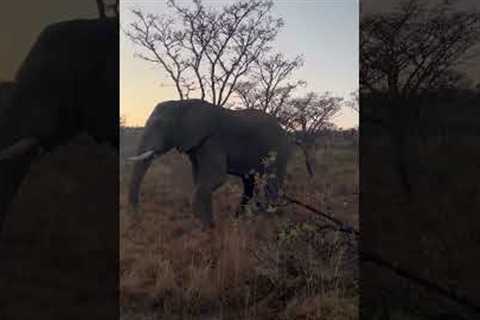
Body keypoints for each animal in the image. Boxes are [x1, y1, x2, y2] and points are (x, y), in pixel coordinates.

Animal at [128, 99, 296, 228]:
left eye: (160, 125)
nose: (138, 216)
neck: (183, 104)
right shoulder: (197, 146)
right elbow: (199, 179)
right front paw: (206, 226)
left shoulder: (213, 141)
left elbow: (215, 178)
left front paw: (207, 227)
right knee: (249, 182)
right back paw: (239, 219)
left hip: (278, 150)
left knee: (272, 182)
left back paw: (268, 221)